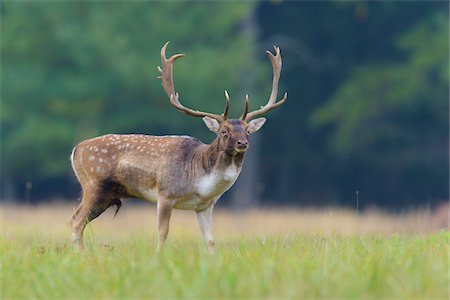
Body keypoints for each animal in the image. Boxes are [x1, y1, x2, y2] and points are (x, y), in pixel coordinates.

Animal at [68, 41, 286, 253]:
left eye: (248, 131)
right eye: (224, 131)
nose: (243, 143)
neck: (199, 181)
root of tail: (75, 149)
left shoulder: (205, 205)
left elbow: (210, 240)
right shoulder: (165, 193)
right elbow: (163, 233)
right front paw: (158, 258)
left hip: (107, 194)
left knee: (75, 220)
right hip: (93, 184)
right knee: (76, 222)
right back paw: (82, 255)